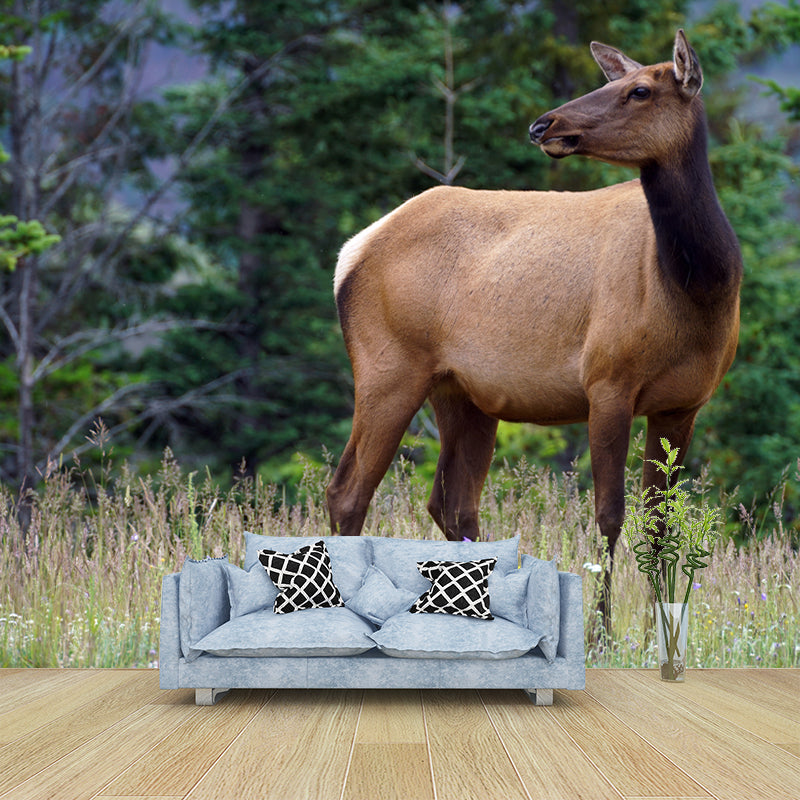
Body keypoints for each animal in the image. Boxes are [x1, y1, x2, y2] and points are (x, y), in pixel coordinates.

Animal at [326, 30, 742, 629]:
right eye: (614, 81)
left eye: (639, 90)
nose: (544, 124)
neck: (699, 289)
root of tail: (350, 254)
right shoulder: (606, 382)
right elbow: (610, 515)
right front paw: (601, 631)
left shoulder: (684, 403)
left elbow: (662, 524)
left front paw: (659, 632)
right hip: (388, 368)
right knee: (348, 492)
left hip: (462, 393)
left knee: (452, 502)